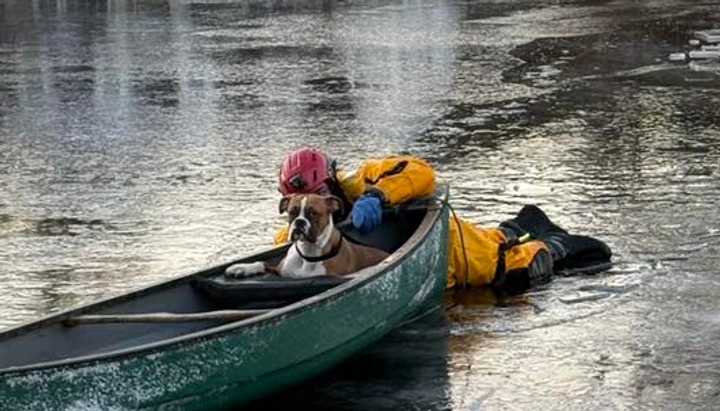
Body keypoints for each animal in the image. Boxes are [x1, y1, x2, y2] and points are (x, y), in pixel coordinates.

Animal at [228, 194, 390, 280]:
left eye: (313, 213)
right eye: (292, 212)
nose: (299, 222)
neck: (308, 253)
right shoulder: (281, 271)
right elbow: (261, 263)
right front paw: (242, 267)